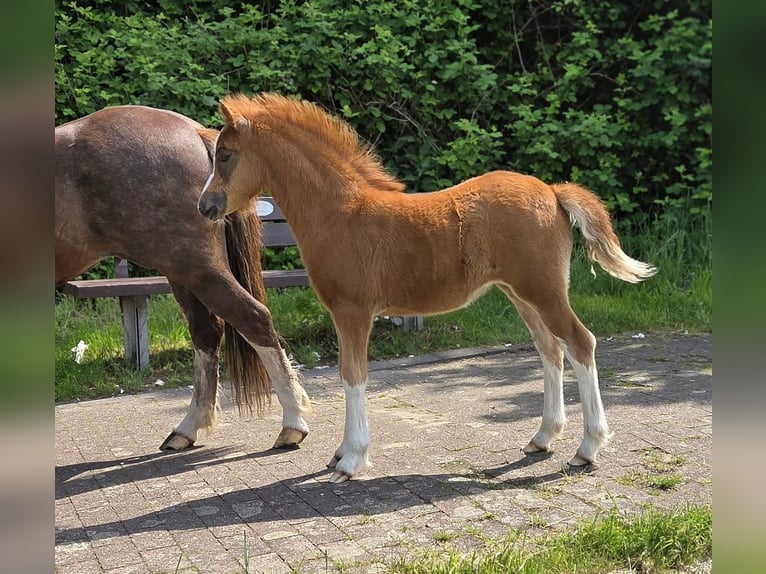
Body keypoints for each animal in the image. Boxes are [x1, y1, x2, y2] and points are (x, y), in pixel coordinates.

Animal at [55, 105, 312, 452]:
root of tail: (195, 132)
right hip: (182, 273)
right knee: (207, 333)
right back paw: (188, 428)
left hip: (196, 267)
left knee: (253, 318)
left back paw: (293, 422)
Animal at [197, 93, 657, 483]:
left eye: (226, 154)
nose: (205, 206)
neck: (340, 214)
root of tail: (553, 191)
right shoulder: (346, 313)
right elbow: (349, 374)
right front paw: (342, 452)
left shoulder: (352, 311)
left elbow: (352, 375)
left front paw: (351, 459)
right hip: (521, 294)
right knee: (551, 351)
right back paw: (542, 438)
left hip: (543, 291)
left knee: (580, 343)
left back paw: (587, 448)